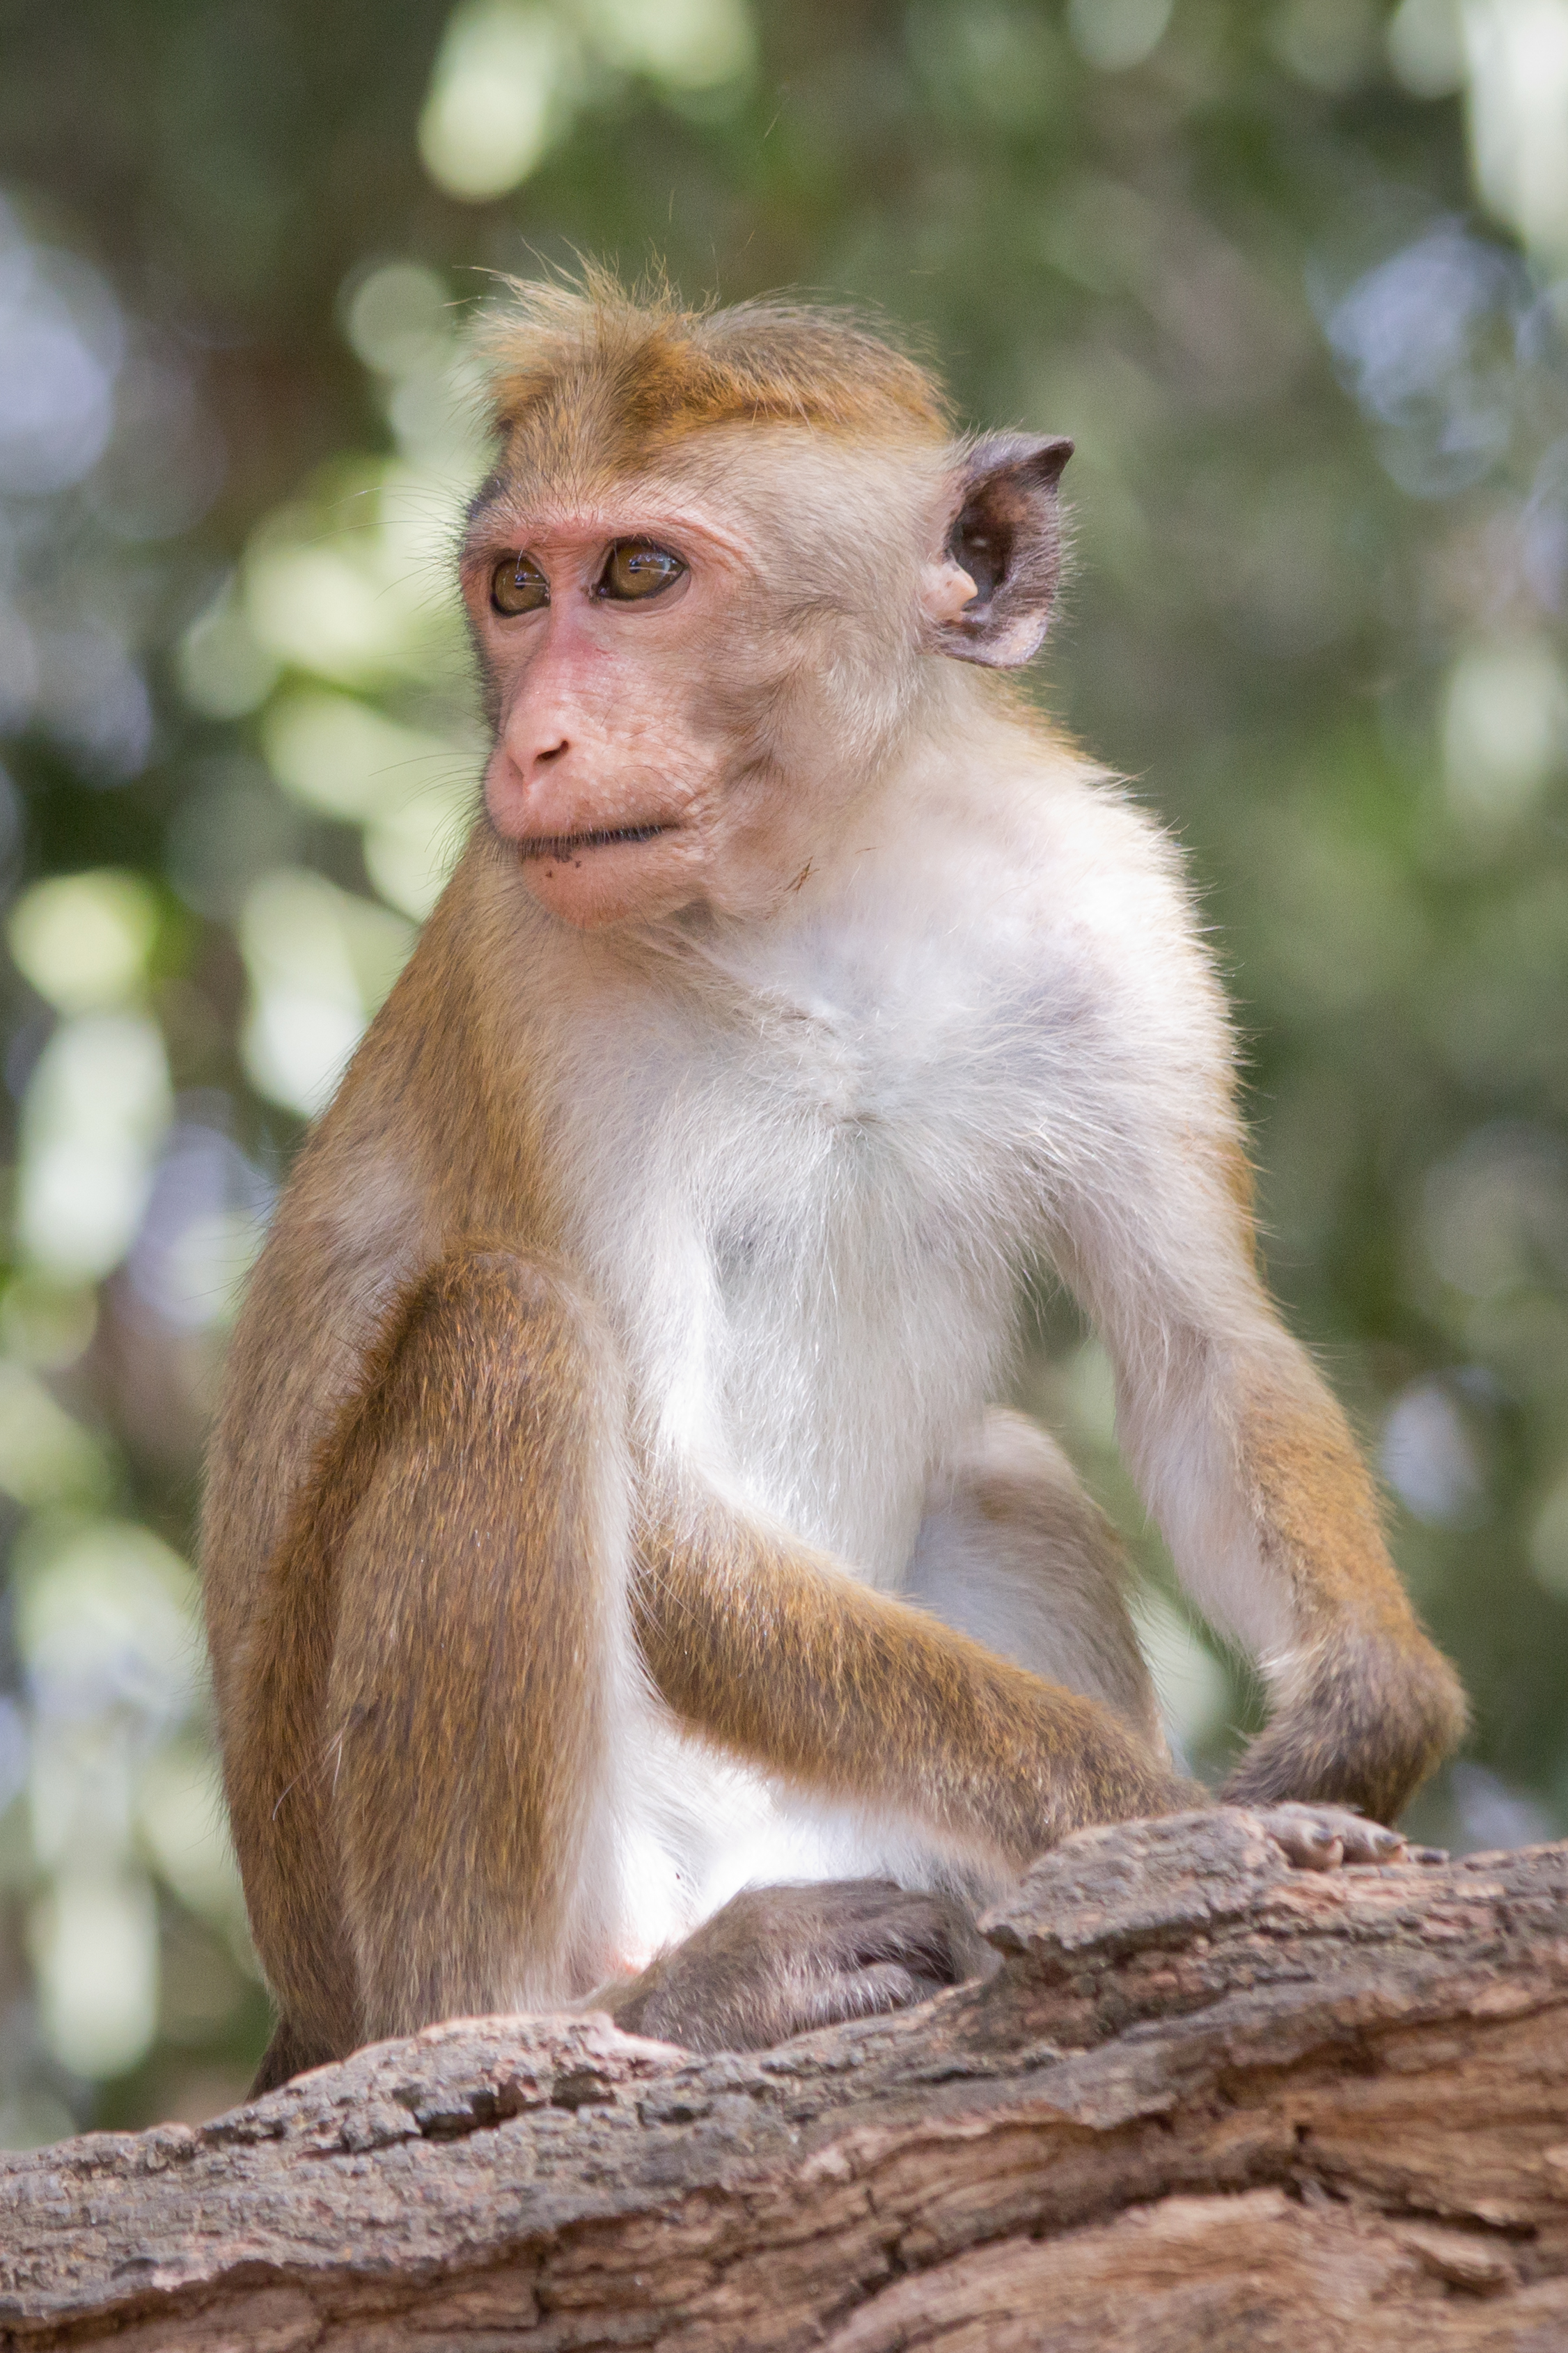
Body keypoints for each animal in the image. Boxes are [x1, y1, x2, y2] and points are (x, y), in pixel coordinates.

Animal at [201, 280, 1459, 2099]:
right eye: (516, 589)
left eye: (635, 575)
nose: (537, 741)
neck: (822, 877)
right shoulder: (534, 974)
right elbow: (663, 1509)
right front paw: (1157, 1820)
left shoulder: (1117, 904)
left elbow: (1199, 1352)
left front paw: (1365, 1713)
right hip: (382, 1908)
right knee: (508, 1333)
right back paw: (581, 2010)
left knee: (1003, 1471)